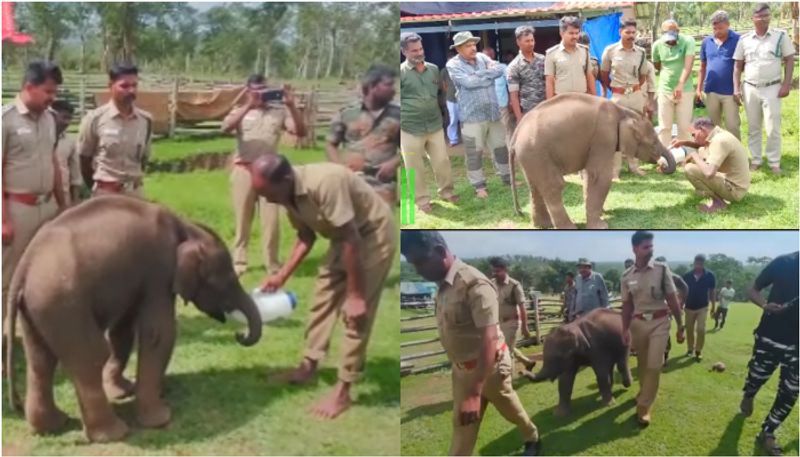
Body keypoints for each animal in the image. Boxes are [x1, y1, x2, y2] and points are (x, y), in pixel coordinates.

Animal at [6, 196, 262, 442]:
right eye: (227, 281)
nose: (240, 335)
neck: (186, 226)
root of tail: (24, 266)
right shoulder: (159, 270)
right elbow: (160, 332)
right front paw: (161, 418)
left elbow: (123, 330)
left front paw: (125, 391)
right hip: (65, 303)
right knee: (90, 356)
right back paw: (114, 433)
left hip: (38, 308)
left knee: (40, 359)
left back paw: (53, 426)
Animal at [512, 92, 676, 228]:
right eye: (653, 143)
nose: (662, 166)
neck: (623, 111)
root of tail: (516, 132)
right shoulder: (604, 136)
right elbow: (599, 176)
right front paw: (601, 225)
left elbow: (588, 176)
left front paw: (602, 212)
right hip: (537, 152)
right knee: (554, 186)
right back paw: (569, 228)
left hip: (530, 157)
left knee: (535, 186)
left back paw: (543, 226)